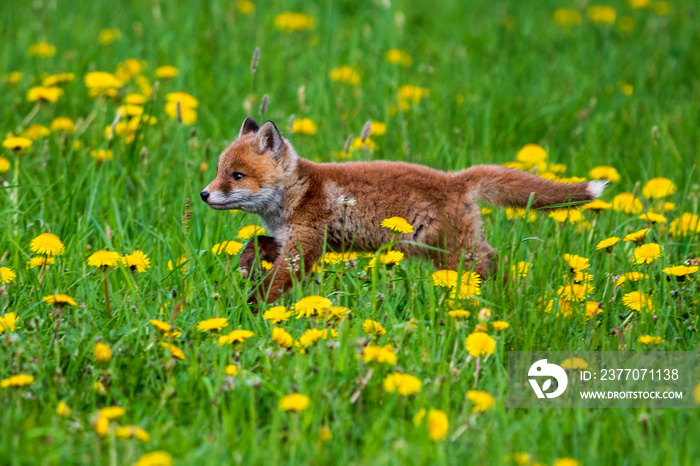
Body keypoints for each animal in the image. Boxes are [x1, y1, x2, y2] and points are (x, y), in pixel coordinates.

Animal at [200, 118, 604, 304]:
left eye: (237, 176)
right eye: (220, 171)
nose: (203, 194)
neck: (297, 193)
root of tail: (456, 179)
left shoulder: (306, 248)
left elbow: (274, 286)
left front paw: (253, 312)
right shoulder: (291, 241)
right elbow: (253, 244)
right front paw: (246, 270)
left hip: (456, 255)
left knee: (496, 265)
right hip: (456, 252)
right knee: (497, 262)